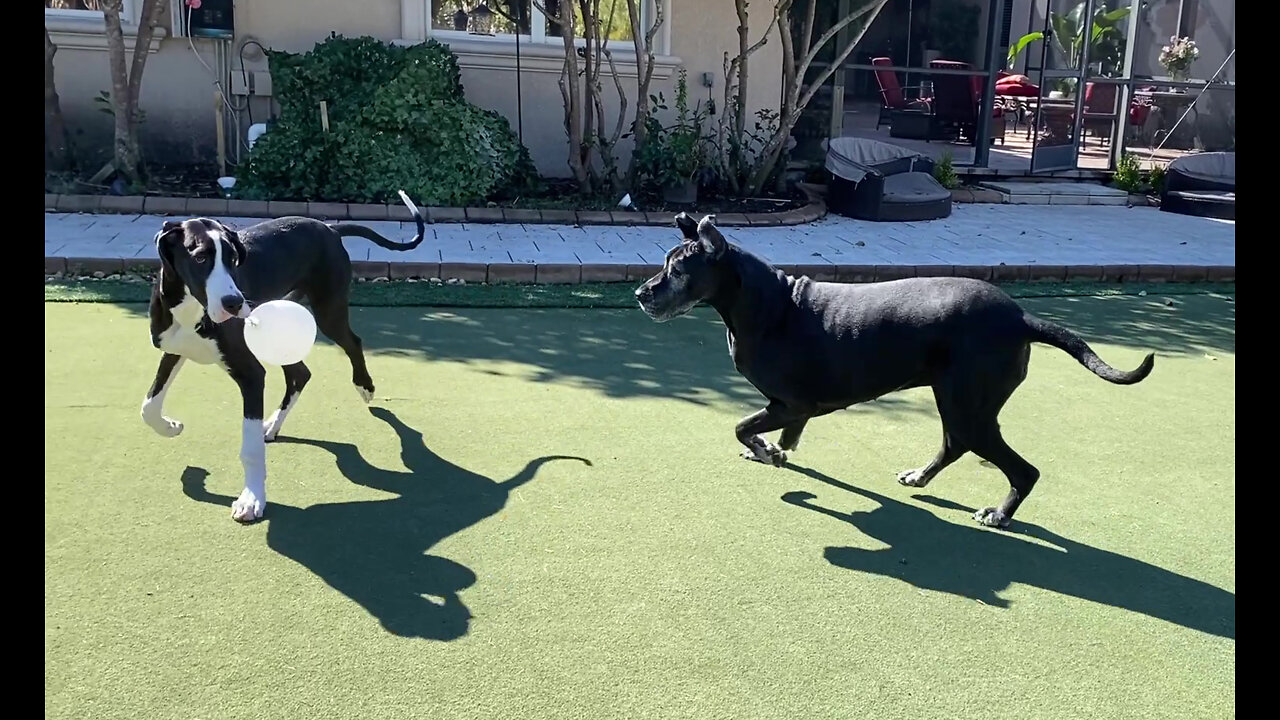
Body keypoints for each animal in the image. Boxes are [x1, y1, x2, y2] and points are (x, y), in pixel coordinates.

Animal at [141, 188, 424, 517]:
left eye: (233, 259)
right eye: (199, 257)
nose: (234, 303)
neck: (191, 309)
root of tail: (330, 228)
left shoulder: (250, 375)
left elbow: (250, 449)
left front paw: (252, 499)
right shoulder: (174, 349)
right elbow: (148, 406)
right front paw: (171, 427)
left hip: (328, 310)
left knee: (352, 342)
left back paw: (364, 386)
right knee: (300, 373)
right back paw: (274, 424)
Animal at [634, 212, 1157, 527]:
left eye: (678, 270)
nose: (641, 294)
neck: (766, 302)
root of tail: (1020, 318)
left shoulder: (791, 403)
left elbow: (741, 425)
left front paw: (763, 450)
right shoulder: (792, 408)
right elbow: (782, 436)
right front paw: (776, 452)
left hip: (969, 406)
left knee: (1021, 470)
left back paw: (999, 513)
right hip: (958, 401)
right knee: (954, 445)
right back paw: (921, 477)